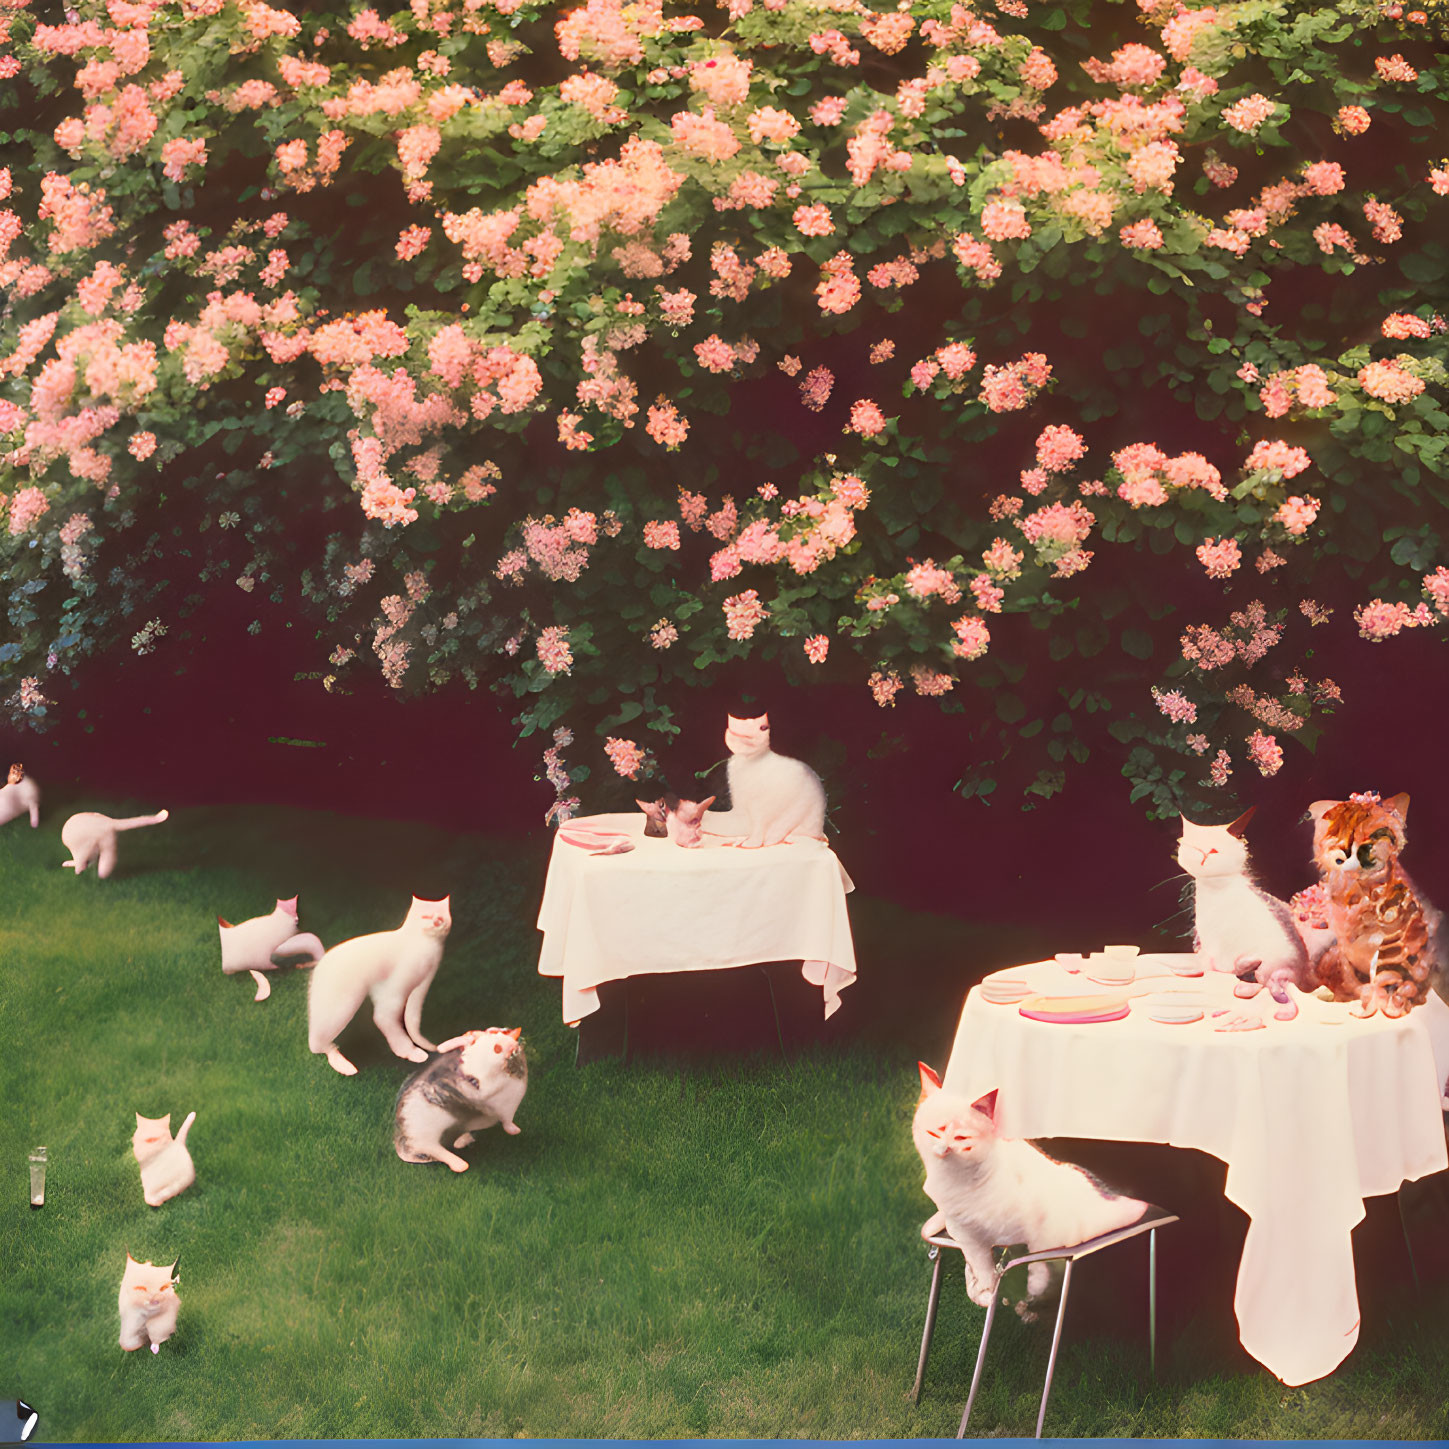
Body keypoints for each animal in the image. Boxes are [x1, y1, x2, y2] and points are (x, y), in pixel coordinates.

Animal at [301, 892, 446, 1078]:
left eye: (441, 915)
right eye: (425, 916)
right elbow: (387, 1017)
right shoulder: (402, 981)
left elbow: (411, 1019)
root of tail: (318, 969)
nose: (436, 921)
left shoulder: (418, 984)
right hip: (340, 1007)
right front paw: (414, 1051)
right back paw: (341, 1063)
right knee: (318, 1041)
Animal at [394, 1025, 530, 1170]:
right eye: (497, 1048)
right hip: (427, 1135)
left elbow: (507, 1121)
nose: (514, 1042)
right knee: (434, 1149)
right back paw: (461, 1165)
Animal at [1176, 805, 1315, 1020]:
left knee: (1276, 988)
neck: (1216, 894)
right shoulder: (1209, 944)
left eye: (1214, 850)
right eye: (1195, 849)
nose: (1204, 857)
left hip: (1275, 964)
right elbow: (1208, 963)